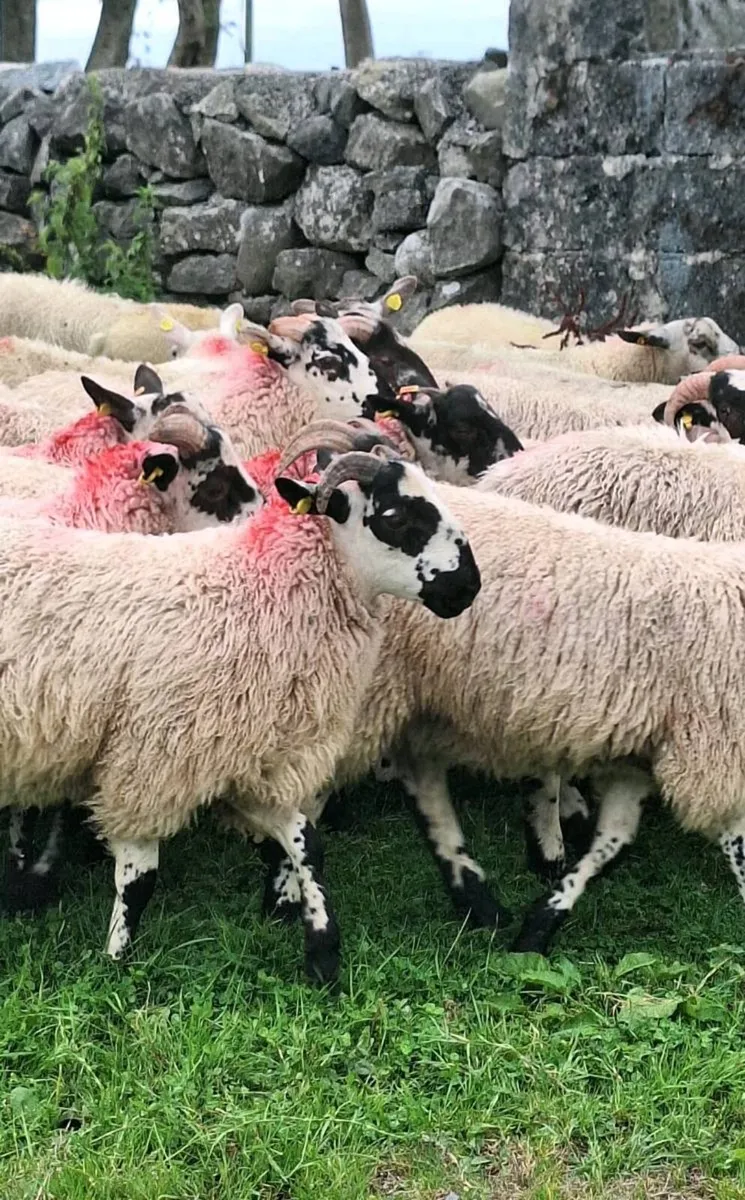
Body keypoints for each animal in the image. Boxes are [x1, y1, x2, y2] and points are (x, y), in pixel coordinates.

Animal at [0, 430, 480, 981]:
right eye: (397, 517)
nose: (470, 586)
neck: (261, 588)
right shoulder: (152, 762)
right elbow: (140, 877)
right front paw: (117, 962)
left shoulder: (248, 760)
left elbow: (307, 844)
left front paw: (322, 950)